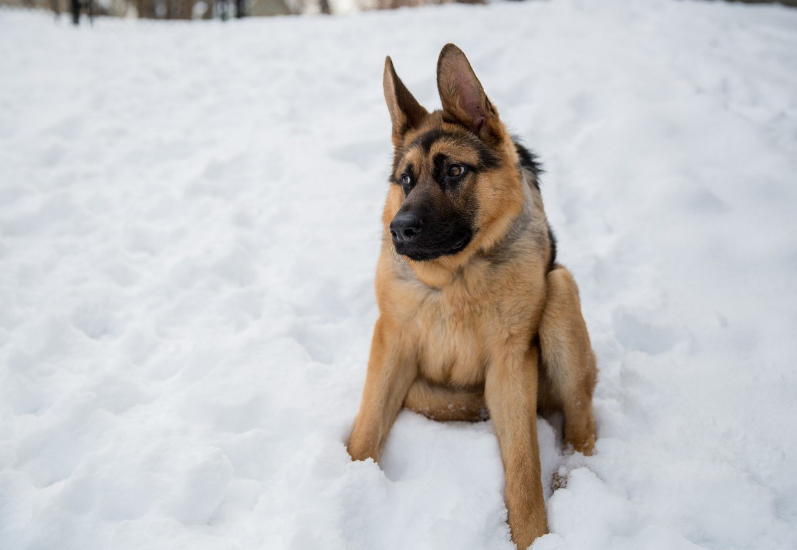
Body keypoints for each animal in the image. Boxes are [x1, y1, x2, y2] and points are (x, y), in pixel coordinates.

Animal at [348, 44, 596, 550]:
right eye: (406, 180)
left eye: (455, 170)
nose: (399, 229)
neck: (454, 280)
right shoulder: (392, 342)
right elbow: (365, 433)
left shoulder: (510, 363)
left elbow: (523, 466)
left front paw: (533, 536)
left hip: (561, 295)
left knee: (582, 427)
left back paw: (572, 479)